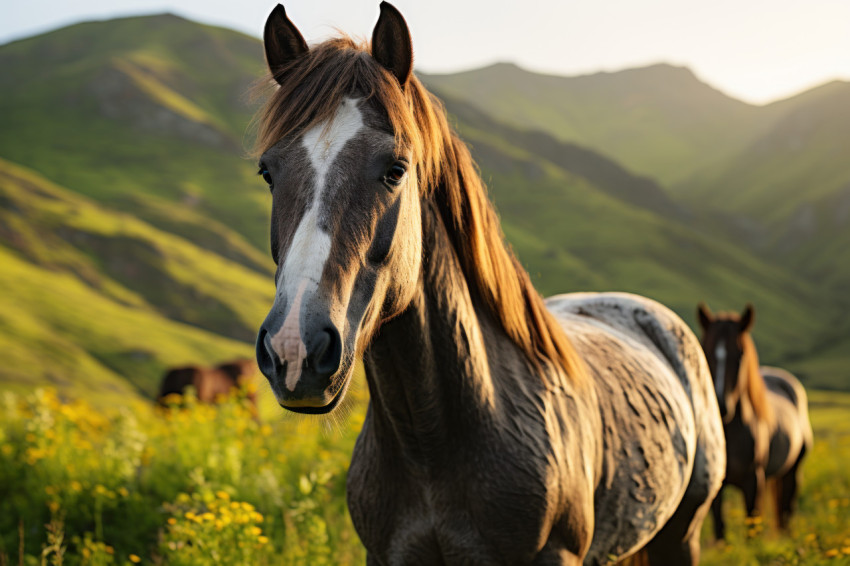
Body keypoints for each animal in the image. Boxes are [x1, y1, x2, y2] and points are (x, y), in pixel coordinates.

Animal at [696, 306, 816, 540]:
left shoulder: (753, 481)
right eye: (705, 351)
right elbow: (719, 527)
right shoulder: (717, 486)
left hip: (793, 470)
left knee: (787, 509)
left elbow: (751, 525)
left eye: (740, 354)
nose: (721, 405)